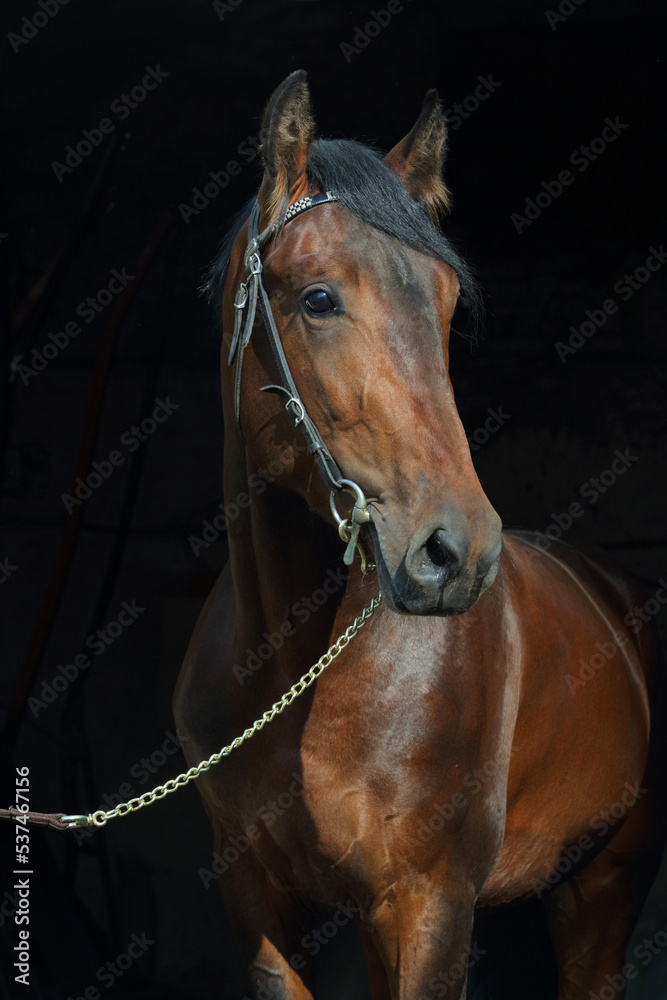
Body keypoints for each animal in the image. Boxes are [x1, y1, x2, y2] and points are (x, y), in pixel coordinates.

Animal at [173, 70, 666, 1000]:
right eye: (318, 298)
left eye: (444, 305)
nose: (457, 553)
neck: (296, 665)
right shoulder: (260, 910)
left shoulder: (427, 905)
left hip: (601, 891)